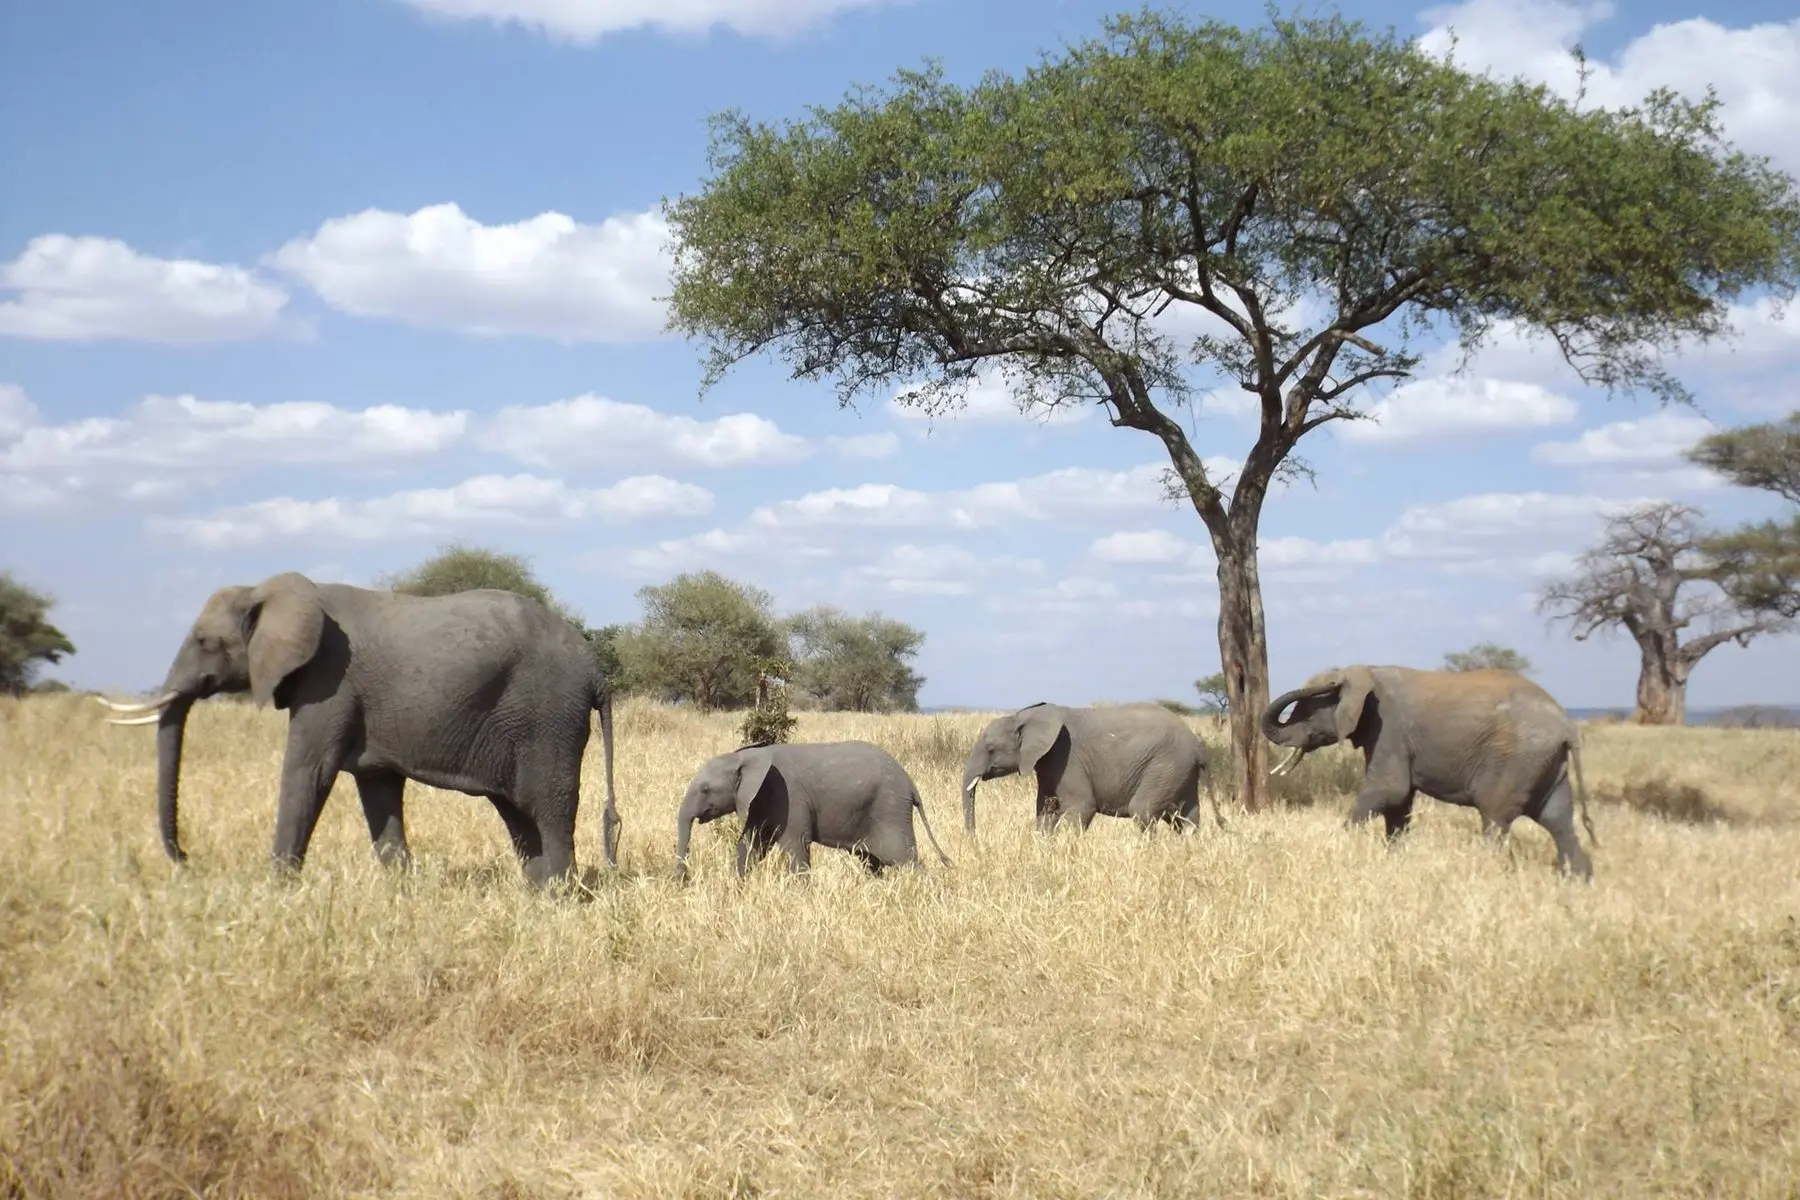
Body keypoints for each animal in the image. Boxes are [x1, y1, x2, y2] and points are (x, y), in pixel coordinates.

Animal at [95, 571, 619, 887]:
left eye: (206, 642)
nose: (186, 859)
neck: (268, 591)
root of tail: (594, 669)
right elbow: (377, 786)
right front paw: (401, 889)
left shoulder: (329, 682)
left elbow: (308, 770)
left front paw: (277, 891)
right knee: (516, 810)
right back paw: (537, 892)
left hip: (547, 717)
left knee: (548, 806)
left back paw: (560, 895)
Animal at [675, 740, 951, 880]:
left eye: (705, 790)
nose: (683, 882)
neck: (749, 757)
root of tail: (911, 786)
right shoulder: (759, 800)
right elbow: (750, 844)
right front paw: (737, 887)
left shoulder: (789, 797)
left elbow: (795, 845)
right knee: (872, 861)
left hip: (890, 809)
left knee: (904, 859)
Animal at [960, 701, 1226, 834]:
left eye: (991, 749)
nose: (975, 841)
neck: (1025, 716)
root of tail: (1197, 744)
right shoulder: (1048, 765)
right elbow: (1045, 810)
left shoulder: (1067, 759)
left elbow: (1081, 808)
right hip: (1180, 771)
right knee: (1186, 818)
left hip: (1165, 765)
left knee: (1143, 811)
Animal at [1261, 665, 1598, 878]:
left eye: (1306, 709)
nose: (1331, 682)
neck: (1366, 672)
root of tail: (1568, 728)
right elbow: (1398, 802)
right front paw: (1393, 857)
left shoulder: (1389, 726)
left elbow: (1389, 789)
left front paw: (1338, 845)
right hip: (1547, 764)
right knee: (1558, 820)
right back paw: (1575, 882)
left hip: (1516, 761)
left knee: (1495, 818)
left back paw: (1487, 872)